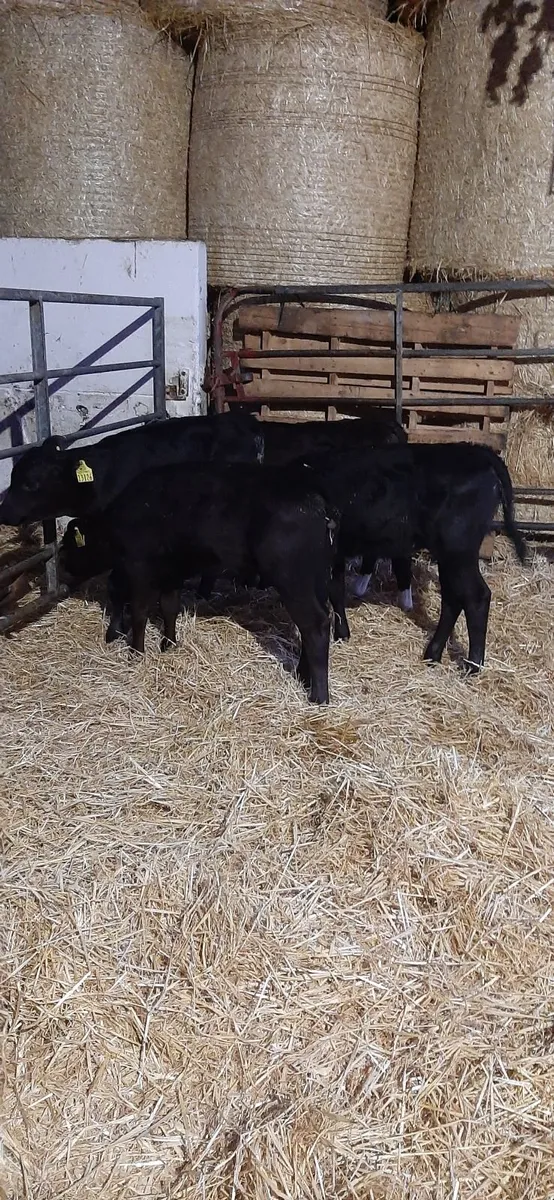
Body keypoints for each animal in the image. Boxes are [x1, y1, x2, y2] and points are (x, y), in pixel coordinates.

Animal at [59, 462, 339, 704]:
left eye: (70, 544)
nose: (61, 563)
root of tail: (313, 494)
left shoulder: (139, 570)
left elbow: (139, 613)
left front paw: (136, 653)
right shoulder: (171, 572)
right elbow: (169, 607)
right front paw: (169, 644)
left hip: (294, 581)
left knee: (315, 626)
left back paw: (318, 696)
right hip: (316, 580)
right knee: (312, 624)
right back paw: (303, 677)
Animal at [304, 442, 526, 674]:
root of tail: (481, 452)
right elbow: (336, 590)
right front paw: (342, 633)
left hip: (458, 548)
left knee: (476, 596)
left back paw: (472, 666)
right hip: (448, 554)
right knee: (452, 598)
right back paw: (433, 654)